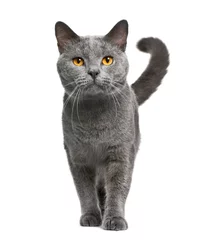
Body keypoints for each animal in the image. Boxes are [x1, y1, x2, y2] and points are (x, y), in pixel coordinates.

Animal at [54, 19, 169, 230]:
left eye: (107, 60)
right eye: (78, 61)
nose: (93, 71)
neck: (95, 122)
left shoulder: (121, 154)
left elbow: (117, 188)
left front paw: (114, 219)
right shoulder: (77, 157)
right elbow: (85, 191)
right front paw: (90, 216)